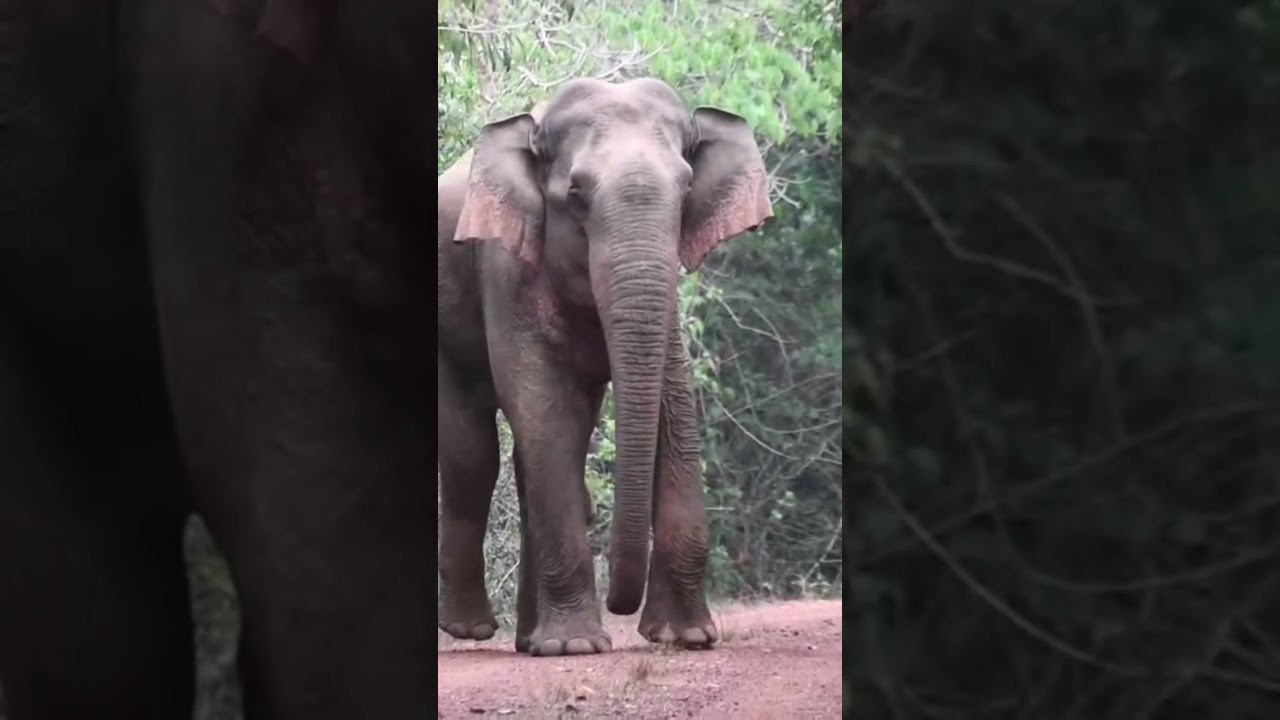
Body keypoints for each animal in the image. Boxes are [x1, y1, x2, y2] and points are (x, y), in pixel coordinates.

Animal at [437, 77, 773, 656]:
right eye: (575, 194)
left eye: (686, 188)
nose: (621, 607)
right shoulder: (505, 267)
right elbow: (545, 409)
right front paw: (575, 647)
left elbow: (672, 402)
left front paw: (685, 637)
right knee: (473, 454)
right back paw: (472, 630)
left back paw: (528, 641)